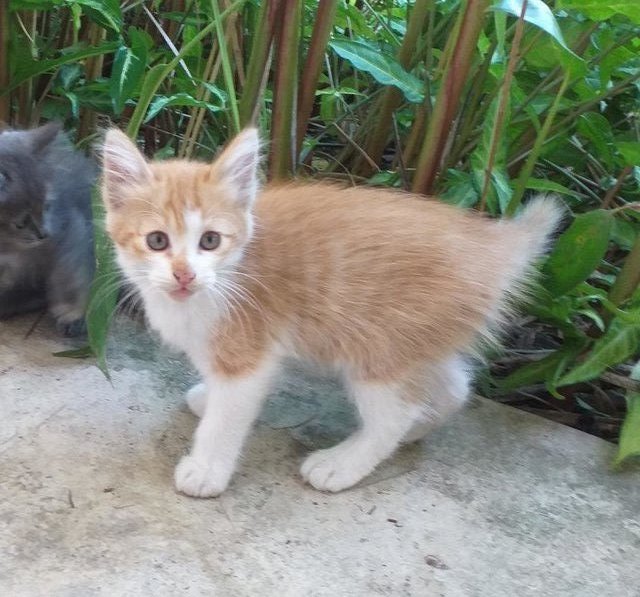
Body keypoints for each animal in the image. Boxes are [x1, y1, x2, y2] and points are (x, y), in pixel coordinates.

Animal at [0, 121, 95, 336]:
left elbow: (70, 275)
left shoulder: (68, 229)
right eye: (21, 222)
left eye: (46, 207)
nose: (44, 234)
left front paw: (74, 313)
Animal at [100, 128, 560, 496]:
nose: (184, 274)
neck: (229, 275)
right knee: (453, 389)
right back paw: (419, 428)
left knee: (396, 413)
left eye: (210, 240)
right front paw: (206, 397)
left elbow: (229, 415)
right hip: (419, 339)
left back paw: (343, 463)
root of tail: (491, 247)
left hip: (378, 346)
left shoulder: (250, 349)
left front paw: (207, 469)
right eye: (157, 240)